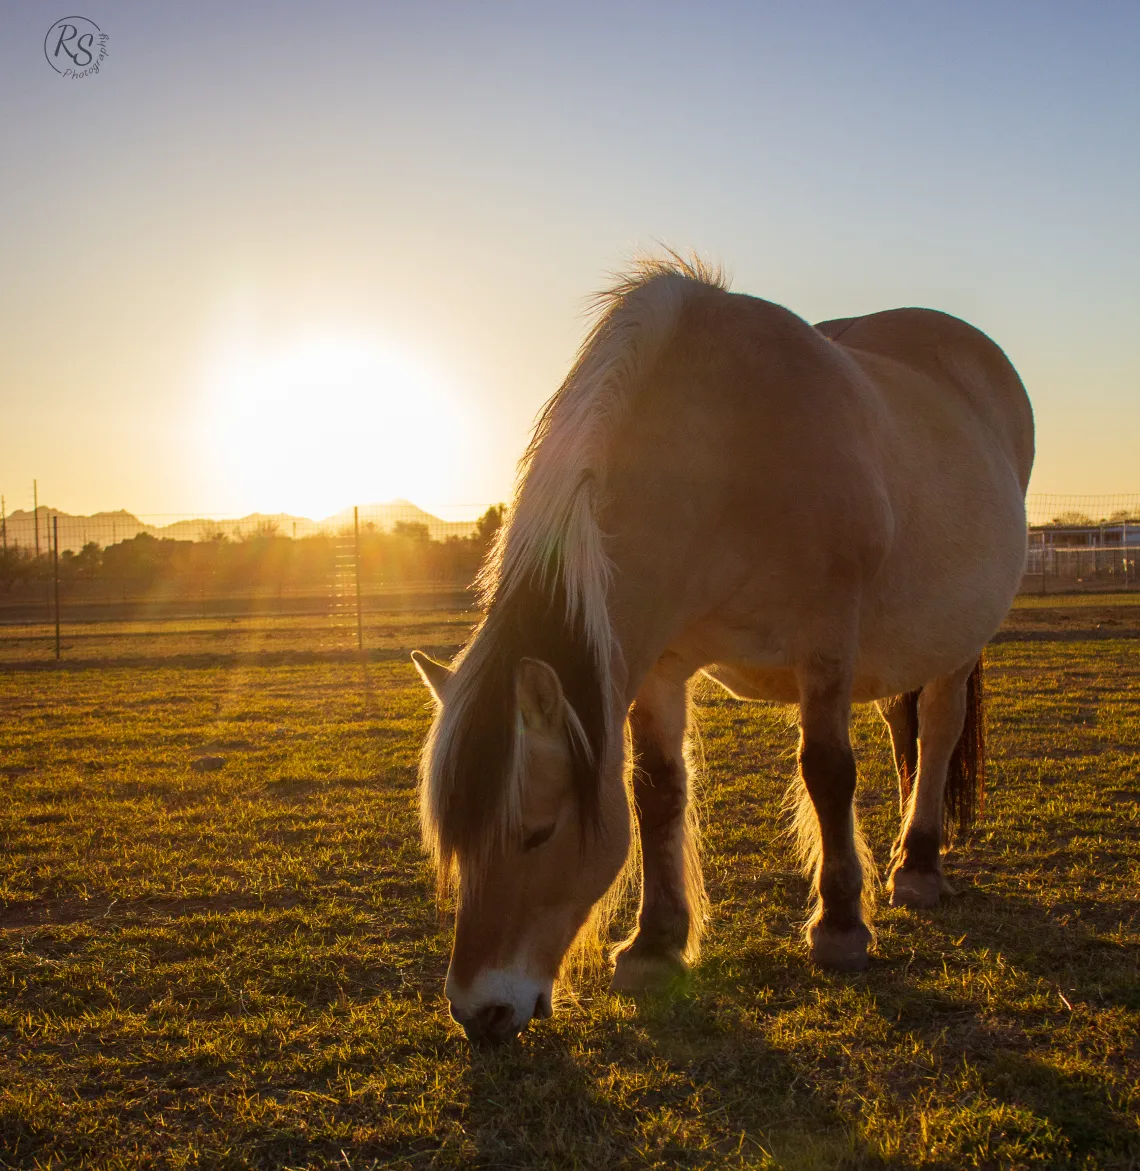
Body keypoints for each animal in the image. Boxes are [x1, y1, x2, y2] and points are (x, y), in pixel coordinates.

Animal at [407, 256, 1034, 1044]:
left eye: (538, 832)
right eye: (456, 841)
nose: (479, 1011)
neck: (732, 450)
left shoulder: (828, 636)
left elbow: (827, 772)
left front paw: (839, 928)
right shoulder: (659, 663)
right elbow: (657, 788)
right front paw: (655, 943)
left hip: (958, 636)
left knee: (942, 727)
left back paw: (919, 863)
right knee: (905, 728)